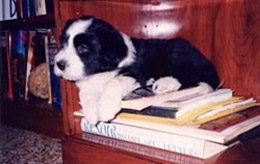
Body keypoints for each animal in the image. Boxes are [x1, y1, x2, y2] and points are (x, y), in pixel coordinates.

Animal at [54, 16, 219, 124]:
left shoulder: (137, 73)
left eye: (83, 48)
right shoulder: (87, 84)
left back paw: (164, 83)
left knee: (192, 77)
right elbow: (85, 93)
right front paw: (91, 114)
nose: (59, 64)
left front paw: (105, 109)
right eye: (63, 42)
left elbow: (113, 82)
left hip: (178, 52)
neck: (100, 72)